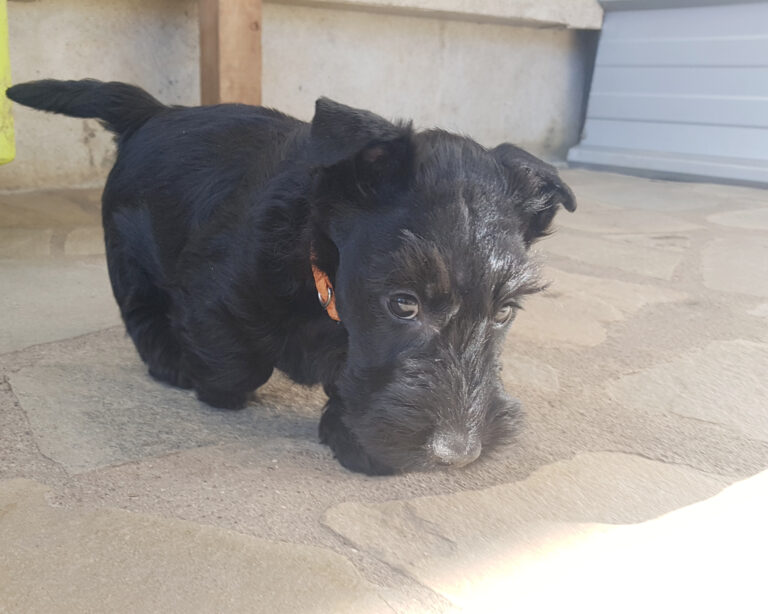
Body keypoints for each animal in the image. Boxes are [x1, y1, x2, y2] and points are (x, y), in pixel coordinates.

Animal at [6, 79, 572, 476]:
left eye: (504, 311)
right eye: (403, 303)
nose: (458, 453)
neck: (314, 261)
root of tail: (155, 112)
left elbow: (347, 369)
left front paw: (350, 433)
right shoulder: (212, 295)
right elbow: (237, 366)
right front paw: (211, 382)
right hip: (127, 249)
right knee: (139, 306)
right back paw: (169, 360)